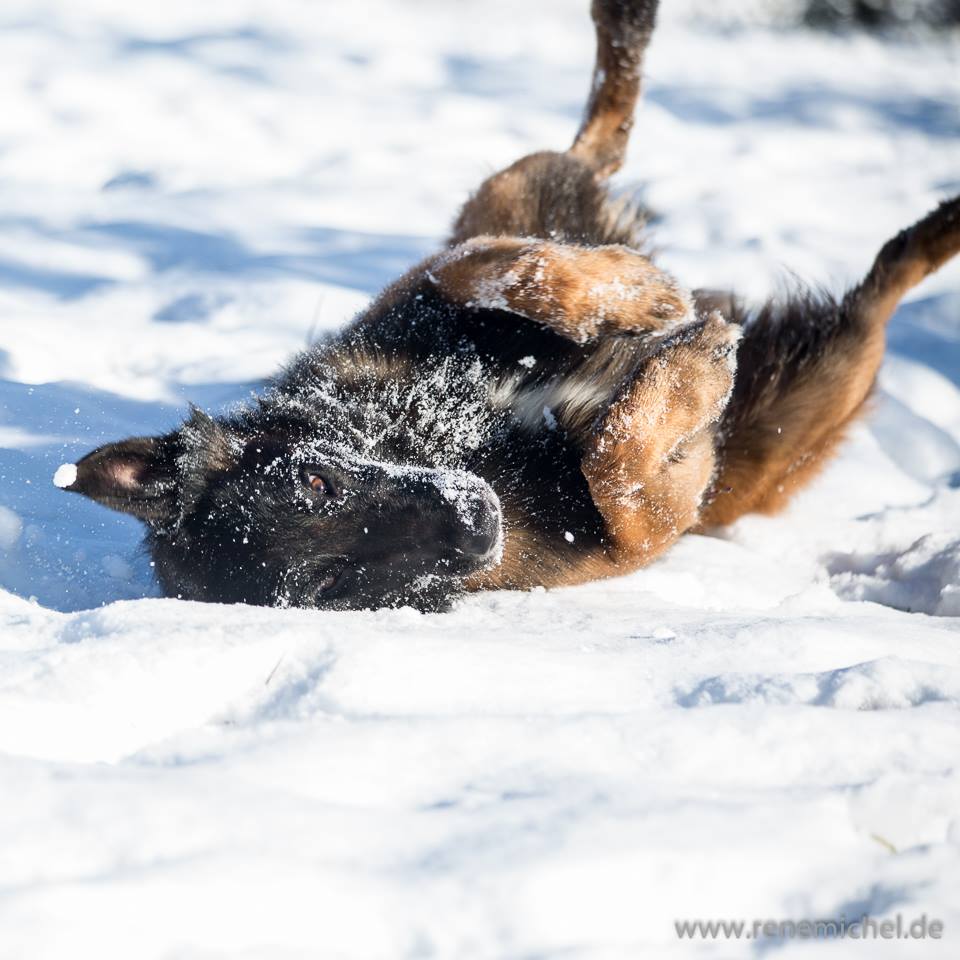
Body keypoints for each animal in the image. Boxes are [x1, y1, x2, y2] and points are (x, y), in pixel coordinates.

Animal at [60, 0, 960, 612]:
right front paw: (692, 371)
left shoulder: (420, 289)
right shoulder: (645, 530)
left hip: (511, 188)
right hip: (812, 390)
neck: (463, 439)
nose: (472, 526)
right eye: (336, 580)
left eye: (317, 481)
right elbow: (619, 469)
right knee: (879, 289)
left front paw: (638, 296)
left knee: (587, 149)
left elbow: (501, 268)